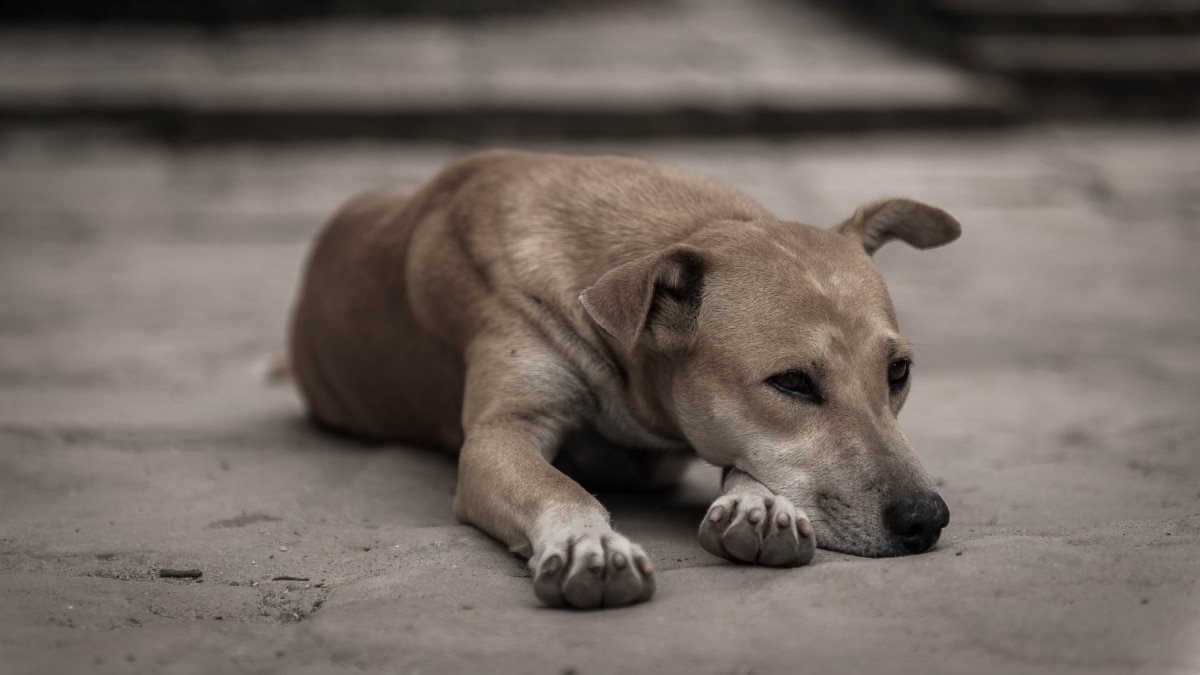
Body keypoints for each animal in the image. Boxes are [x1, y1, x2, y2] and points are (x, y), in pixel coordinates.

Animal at [288, 149, 955, 607]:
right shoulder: (500, 433)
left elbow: (746, 459)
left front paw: (759, 503)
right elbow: (555, 484)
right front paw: (589, 542)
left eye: (898, 372)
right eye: (791, 382)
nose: (926, 518)